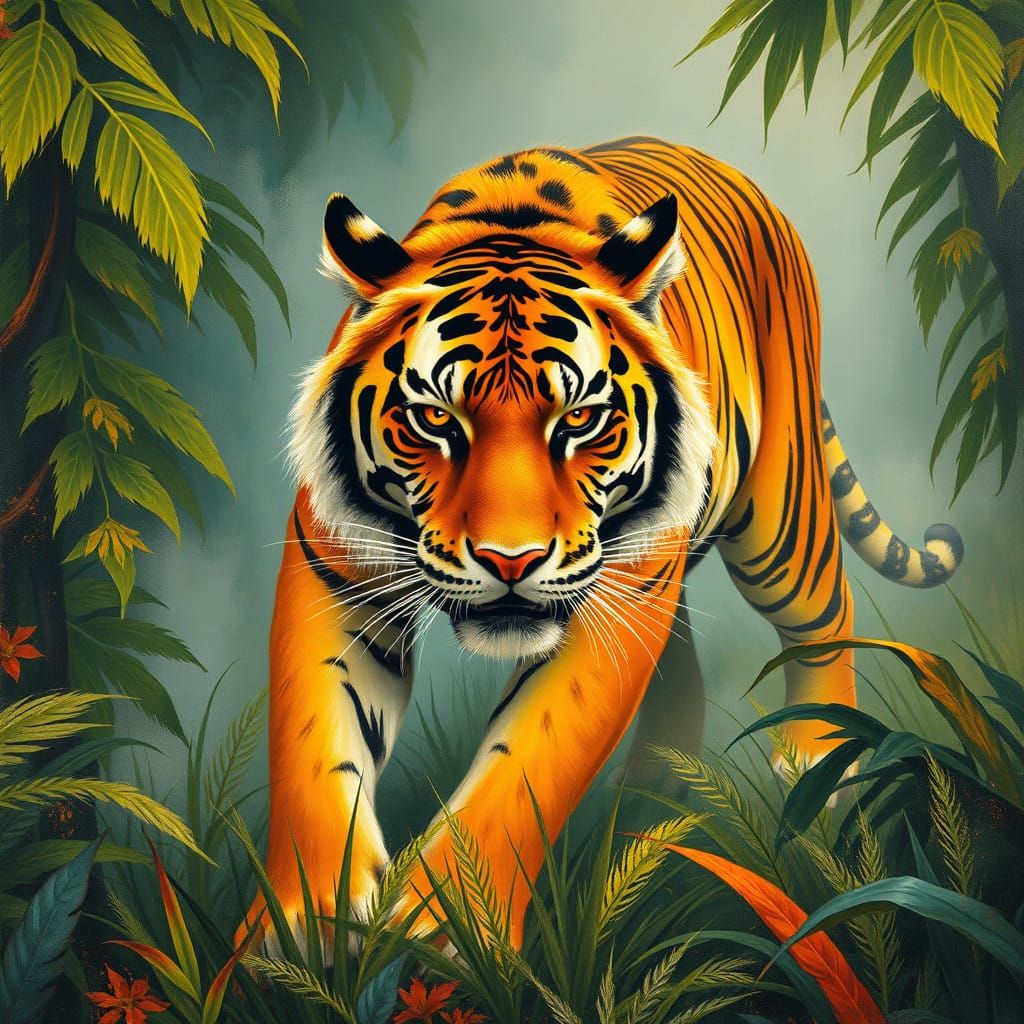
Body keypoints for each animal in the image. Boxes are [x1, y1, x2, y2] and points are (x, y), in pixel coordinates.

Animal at [239, 136, 963, 953]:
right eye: (436, 419)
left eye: (580, 419)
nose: (510, 561)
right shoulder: (333, 572)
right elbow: (312, 742)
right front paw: (305, 918)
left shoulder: (613, 609)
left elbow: (530, 760)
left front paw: (451, 923)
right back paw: (652, 796)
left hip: (779, 517)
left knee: (824, 610)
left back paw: (814, 755)